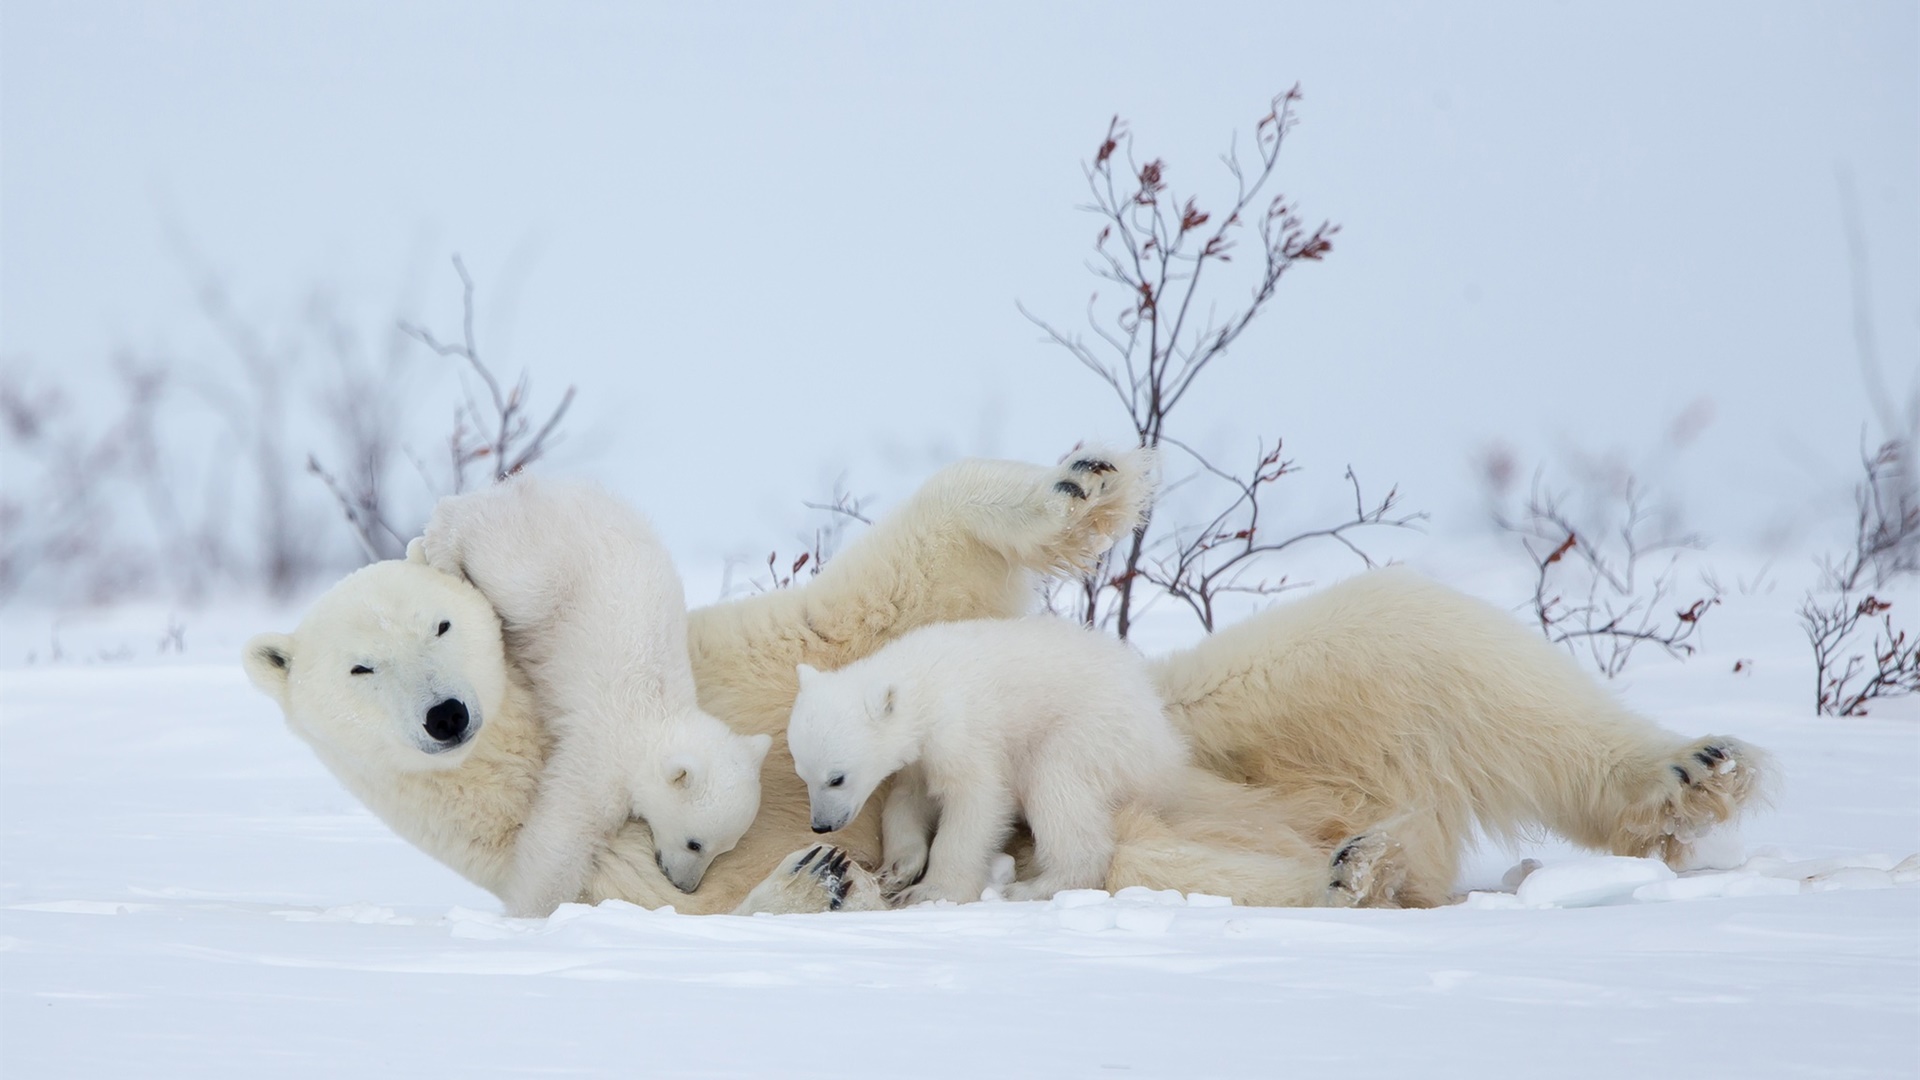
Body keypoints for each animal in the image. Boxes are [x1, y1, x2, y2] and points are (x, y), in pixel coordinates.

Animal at [408, 472, 768, 907]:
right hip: (551, 566)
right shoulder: (605, 751)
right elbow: (565, 828)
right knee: (508, 570)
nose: (686, 885)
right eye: (695, 842)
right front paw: (534, 908)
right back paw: (441, 546)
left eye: (725, 848)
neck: (658, 717)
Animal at [791, 614, 1182, 899]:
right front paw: (896, 871)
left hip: (1093, 734)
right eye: (802, 774)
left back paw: (1030, 888)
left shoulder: (963, 732)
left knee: (1056, 788)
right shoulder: (920, 757)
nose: (821, 825)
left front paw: (930, 891)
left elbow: (978, 800)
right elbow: (907, 799)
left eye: (836, 778)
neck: (924, 683)